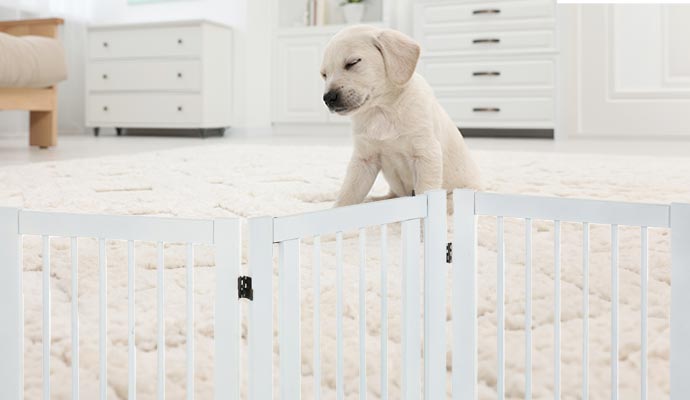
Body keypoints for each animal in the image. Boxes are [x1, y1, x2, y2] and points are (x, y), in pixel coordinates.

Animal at [322, 25, 478, 208]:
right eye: (324, 74)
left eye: (352, 63)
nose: (328, 98)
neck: (382, 111)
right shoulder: (364, 160)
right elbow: (348, 195)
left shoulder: (427, 153)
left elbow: (425, 193)